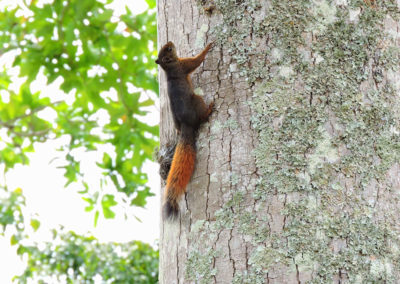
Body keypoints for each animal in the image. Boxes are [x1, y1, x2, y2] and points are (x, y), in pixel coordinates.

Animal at [155, 41, 214, 220]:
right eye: (168, 49)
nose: (170, 42)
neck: (169, 67)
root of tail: (186, 126)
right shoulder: (183, 65)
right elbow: (196, 61)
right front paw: (208, 48)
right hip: (197, 100)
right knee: (202, 116)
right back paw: (209, 109)